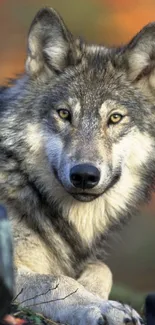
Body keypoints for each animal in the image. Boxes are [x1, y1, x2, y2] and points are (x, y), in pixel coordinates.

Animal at [0, 6, 155, 322]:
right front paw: (103, 307)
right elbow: (58, 280)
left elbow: (102, 268)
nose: (84, 175)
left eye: (115, 118)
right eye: (64, 114)